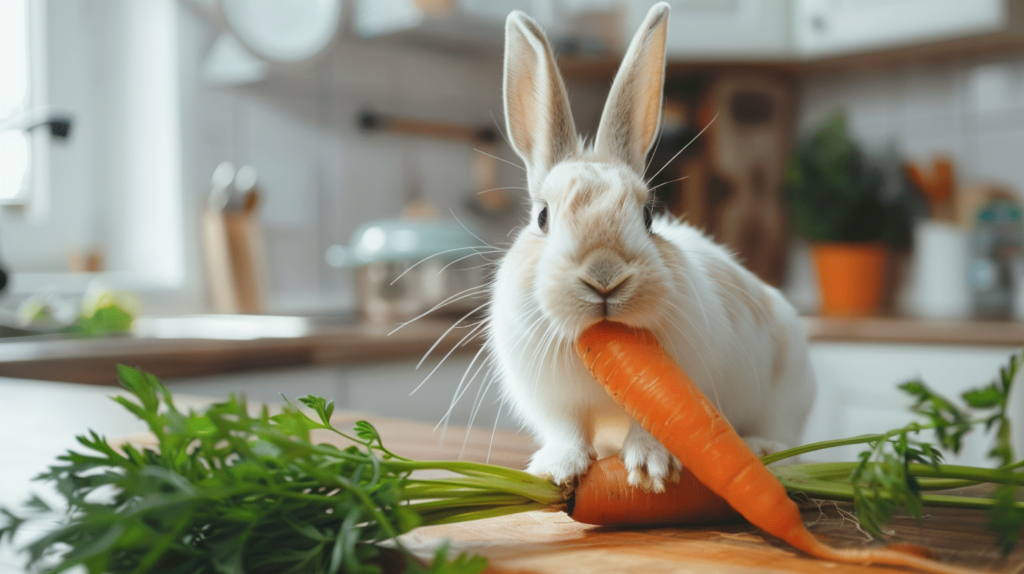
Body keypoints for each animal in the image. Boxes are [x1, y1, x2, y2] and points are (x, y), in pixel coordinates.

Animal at [487, 2, 815, 491]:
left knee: (784, 437)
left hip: (787, 393)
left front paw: (651, 468)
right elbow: (568, 431)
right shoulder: (555, 403)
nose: (604, 277)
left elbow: (655, 423)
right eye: (542, 216)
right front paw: (557, 468)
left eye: (647, 216)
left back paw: (762, 448)